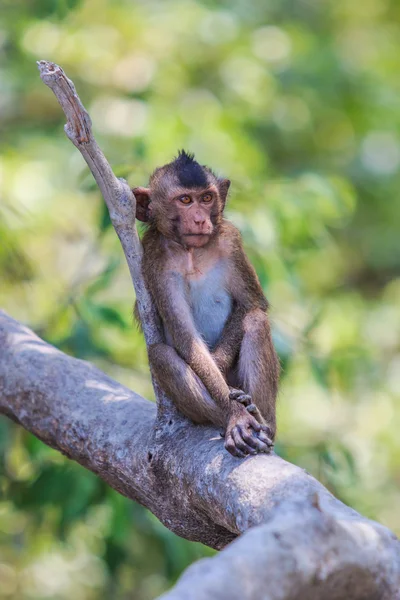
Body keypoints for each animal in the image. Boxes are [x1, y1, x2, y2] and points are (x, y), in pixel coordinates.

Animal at [133, 151, 280, 460]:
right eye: (186, 200)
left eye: (207, 198)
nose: (201, 220)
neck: (191, 251)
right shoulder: (154, 258)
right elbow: (186, 338)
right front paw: (235, 415)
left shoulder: (230, 240)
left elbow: (252, 304)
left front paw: (221, 367)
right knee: (160, 355)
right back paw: (233, 417)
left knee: (256, 321)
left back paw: (261, 418)